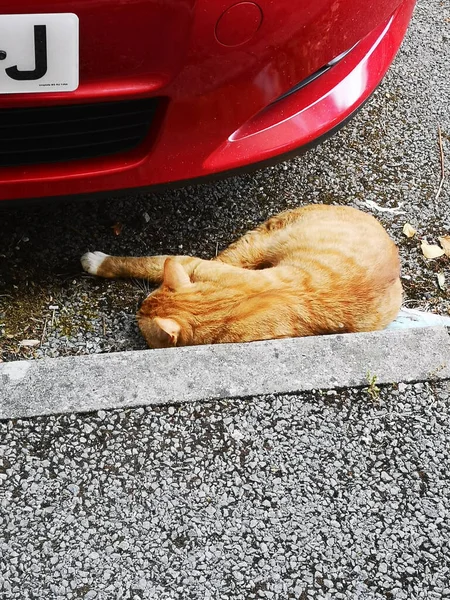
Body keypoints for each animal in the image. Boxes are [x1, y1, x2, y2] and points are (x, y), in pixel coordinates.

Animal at [81, 205, 404, 350]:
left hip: (257, 241)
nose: (136, 309)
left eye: (139, 318)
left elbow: (144, 263)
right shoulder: (198, 265)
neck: (225, 303)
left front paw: (98, 263)